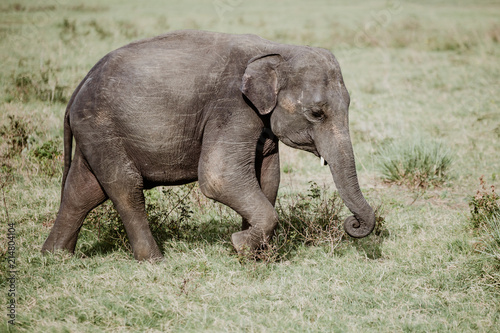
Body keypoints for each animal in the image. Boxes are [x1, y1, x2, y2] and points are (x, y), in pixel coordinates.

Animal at [41, 29, 374, 260]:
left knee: (83, 190)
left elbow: (268, 176)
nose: (353, 224)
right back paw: (154, 260)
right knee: (124, 185)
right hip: (101, 127)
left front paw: (255, 251)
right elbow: (218, 177)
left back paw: (55, 256)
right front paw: (239, 245)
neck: (277, 49)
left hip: (94, 132)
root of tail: (78, 88)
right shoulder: (231, 106)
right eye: (317, 113)